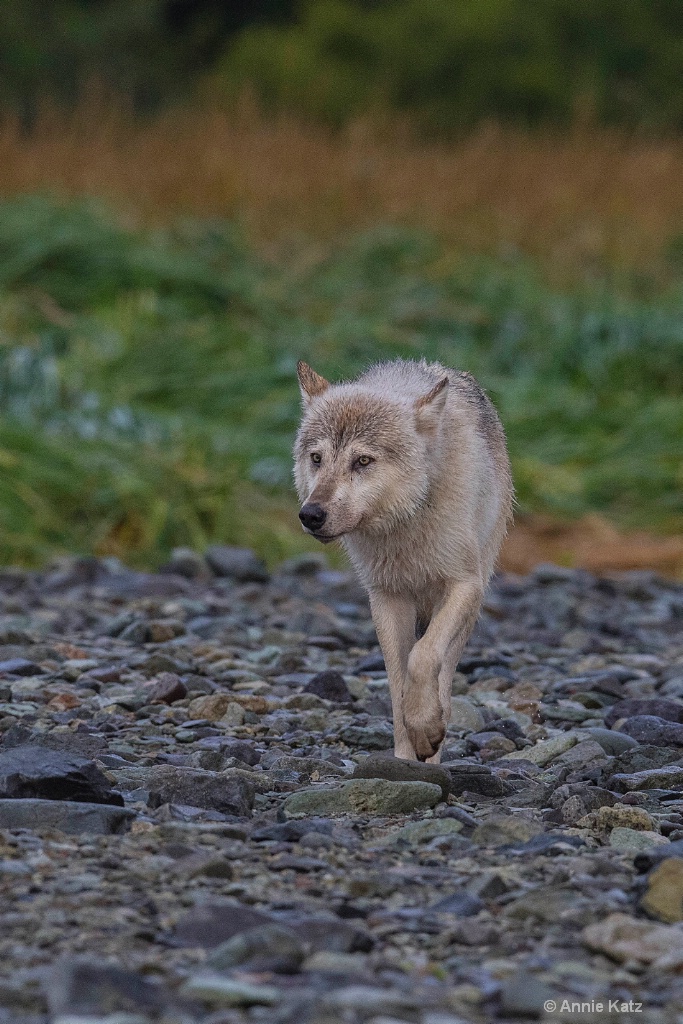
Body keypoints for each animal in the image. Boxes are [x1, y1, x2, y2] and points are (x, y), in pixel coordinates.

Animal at [294, 360, 511, 761]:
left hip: (470, 606)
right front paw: (405, 758)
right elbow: (397, 689)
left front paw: (426, 727)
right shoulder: (386, 597)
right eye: (316, 458)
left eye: (362, 460)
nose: (311, 514)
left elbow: (422, 657)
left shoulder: (462, 585)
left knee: (443, 677)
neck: (404, 523)